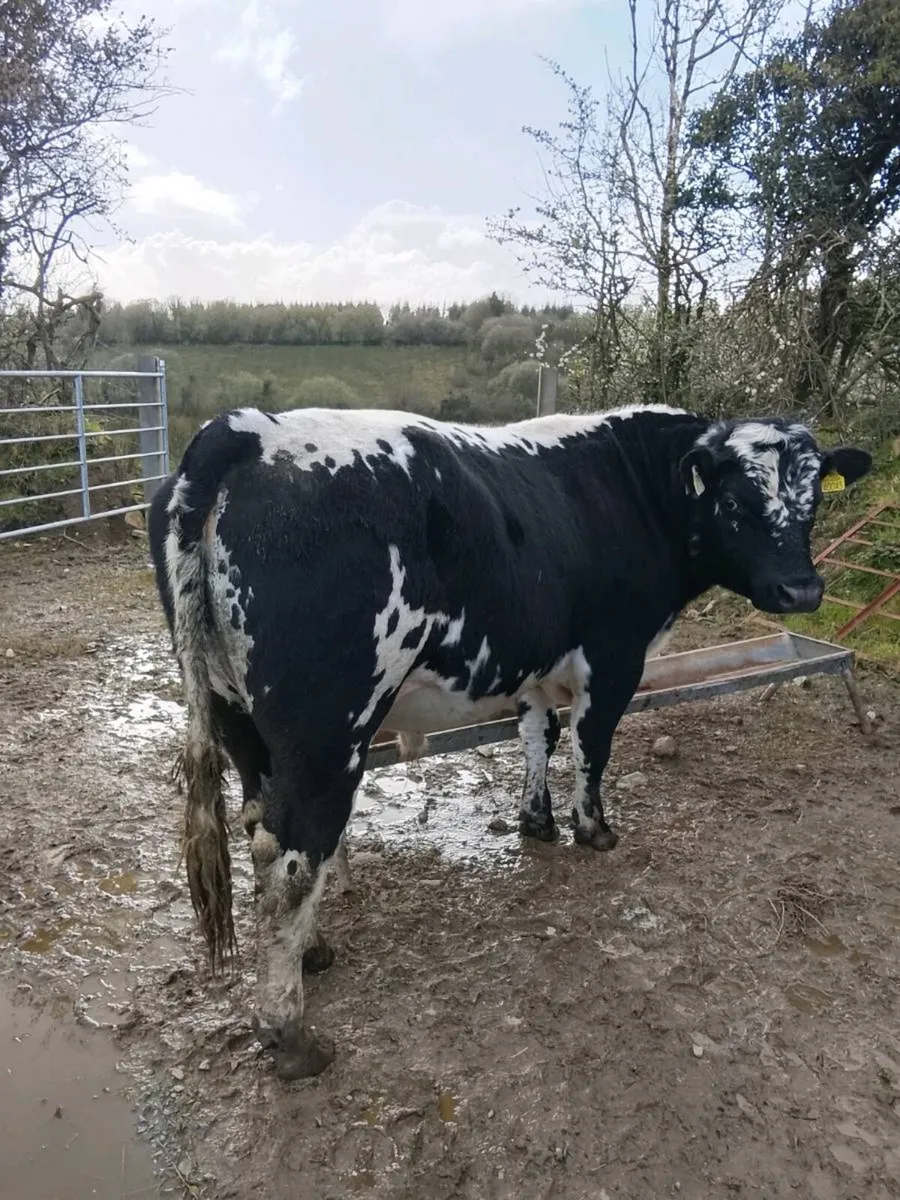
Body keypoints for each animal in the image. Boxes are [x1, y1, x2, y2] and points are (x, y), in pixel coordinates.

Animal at [147, 403, 870, 1081]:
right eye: (734, 501)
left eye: (813, 498)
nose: (802, 589)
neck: (633, 482)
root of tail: (245, 430)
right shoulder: (613, 657)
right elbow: (591, 745)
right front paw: (594, 829)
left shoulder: (533, 662)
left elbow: (536, 736)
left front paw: (536, 820)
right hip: (327, 729)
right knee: (293, 859)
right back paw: (290, 1032)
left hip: (239, 719)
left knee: (259, 828)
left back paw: (312, 953)